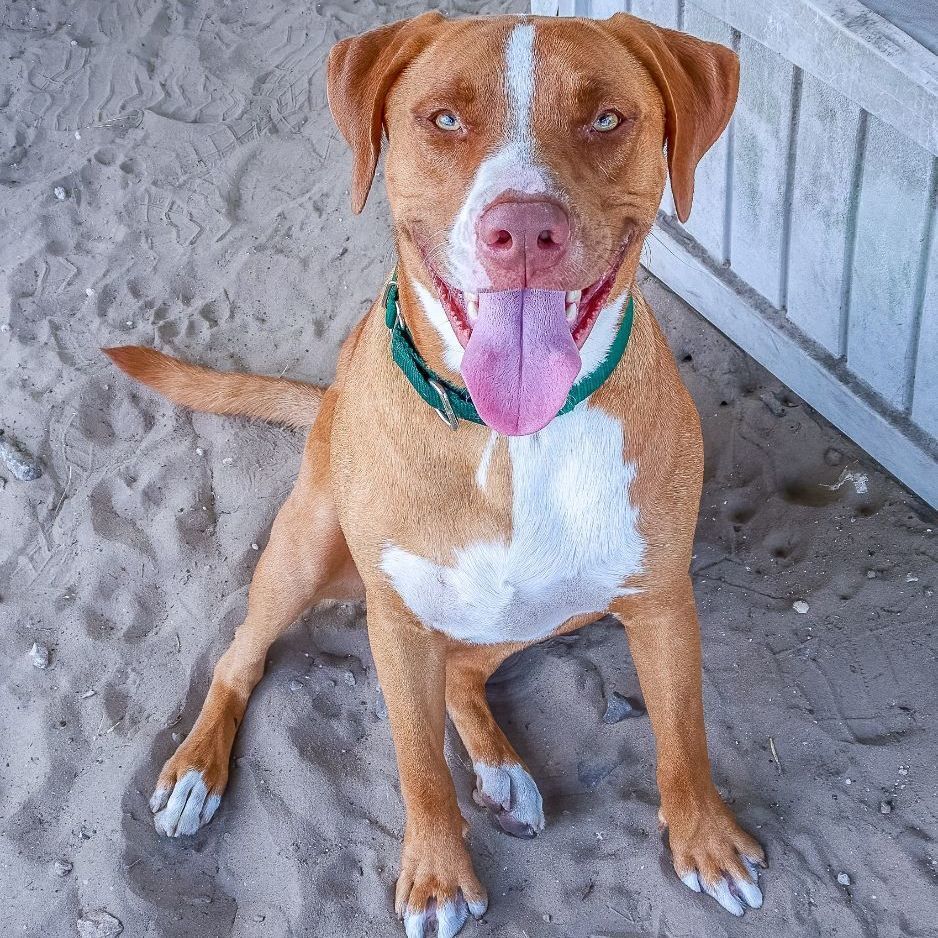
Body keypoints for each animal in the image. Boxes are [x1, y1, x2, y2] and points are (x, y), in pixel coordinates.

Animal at [106, 11, 764, 932]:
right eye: (444, 120)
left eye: (606, 119)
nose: (523, 232)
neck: (515, 441)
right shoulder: (398, 622)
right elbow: (418, 770)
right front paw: (440, 874)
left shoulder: (661, 600)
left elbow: (684, 739)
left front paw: (705, 838)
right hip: (305, 548)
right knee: (242, 656)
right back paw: (197, 771)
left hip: (561, 605)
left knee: (466, 671)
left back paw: (499, 767)